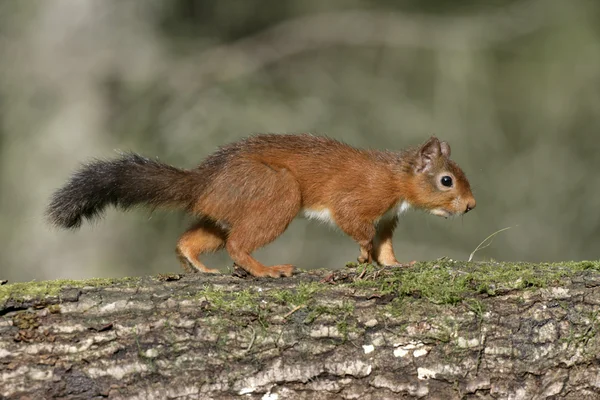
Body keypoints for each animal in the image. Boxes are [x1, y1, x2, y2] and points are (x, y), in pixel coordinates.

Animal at [47, 134, 476, 278]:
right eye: (447, 180)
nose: (471, 206)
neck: (395, 179)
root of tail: (205, 181)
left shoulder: (388, 219)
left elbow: (385, 245)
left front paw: (395, 264)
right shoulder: (360, 198)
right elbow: (356, 225)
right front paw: (361, 255)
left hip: (226, 213)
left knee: (197, 238)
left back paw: (198, 266)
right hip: (277, 194)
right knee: (238, 244)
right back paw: (267, 271)